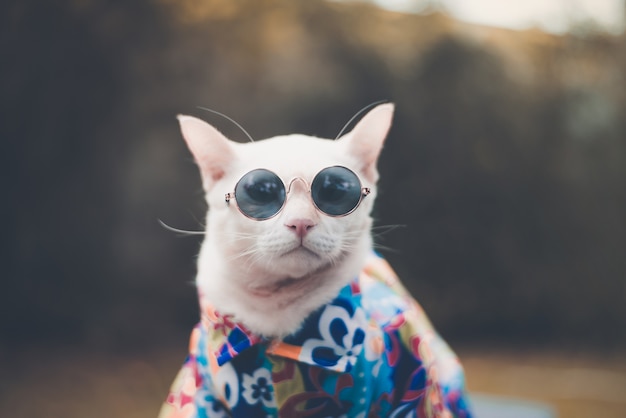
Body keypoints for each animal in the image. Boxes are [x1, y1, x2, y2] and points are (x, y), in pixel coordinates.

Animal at [158, 104, 470, 418]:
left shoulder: (407, 392)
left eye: (335, 190)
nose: (300, 222)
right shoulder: (200, 396)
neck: (276, 313)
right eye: (260, 192)